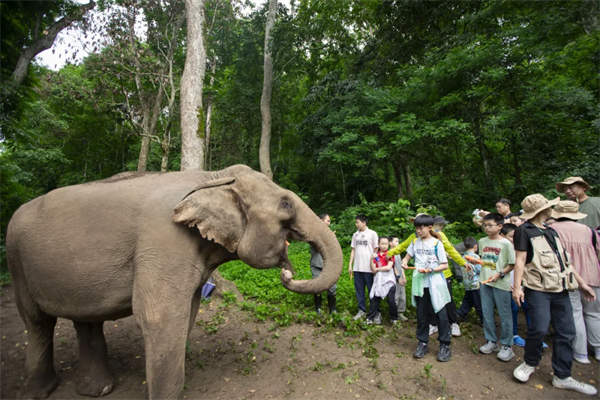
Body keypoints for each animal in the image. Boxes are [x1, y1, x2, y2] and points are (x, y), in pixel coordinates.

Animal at [7, 164, 342, 398]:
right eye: (286, 205)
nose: (289, 273)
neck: (212, 176)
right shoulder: (164, 239)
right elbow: (160, 317)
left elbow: (188, 313)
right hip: (15, 258)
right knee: (37, 322)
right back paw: (38, 392)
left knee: (85, 321)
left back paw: (97, 391)